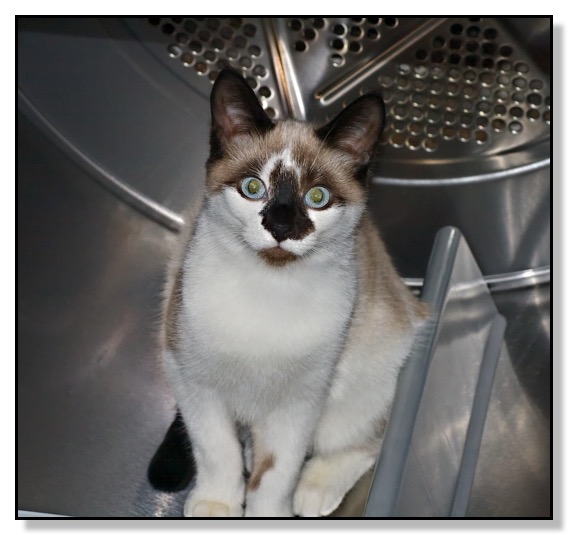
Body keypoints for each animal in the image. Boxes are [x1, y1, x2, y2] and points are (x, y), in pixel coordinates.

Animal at [158, 68, 428, 520]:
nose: (282, 228)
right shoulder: (191, 378)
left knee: (368, 438)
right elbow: (217, 450)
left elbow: (277, 473)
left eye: (317, 197)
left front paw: (269, 511)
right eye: (253, 188)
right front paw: (217, 503)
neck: (269, 288)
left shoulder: (300, 403)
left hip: (370, 375)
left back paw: (314, 489)